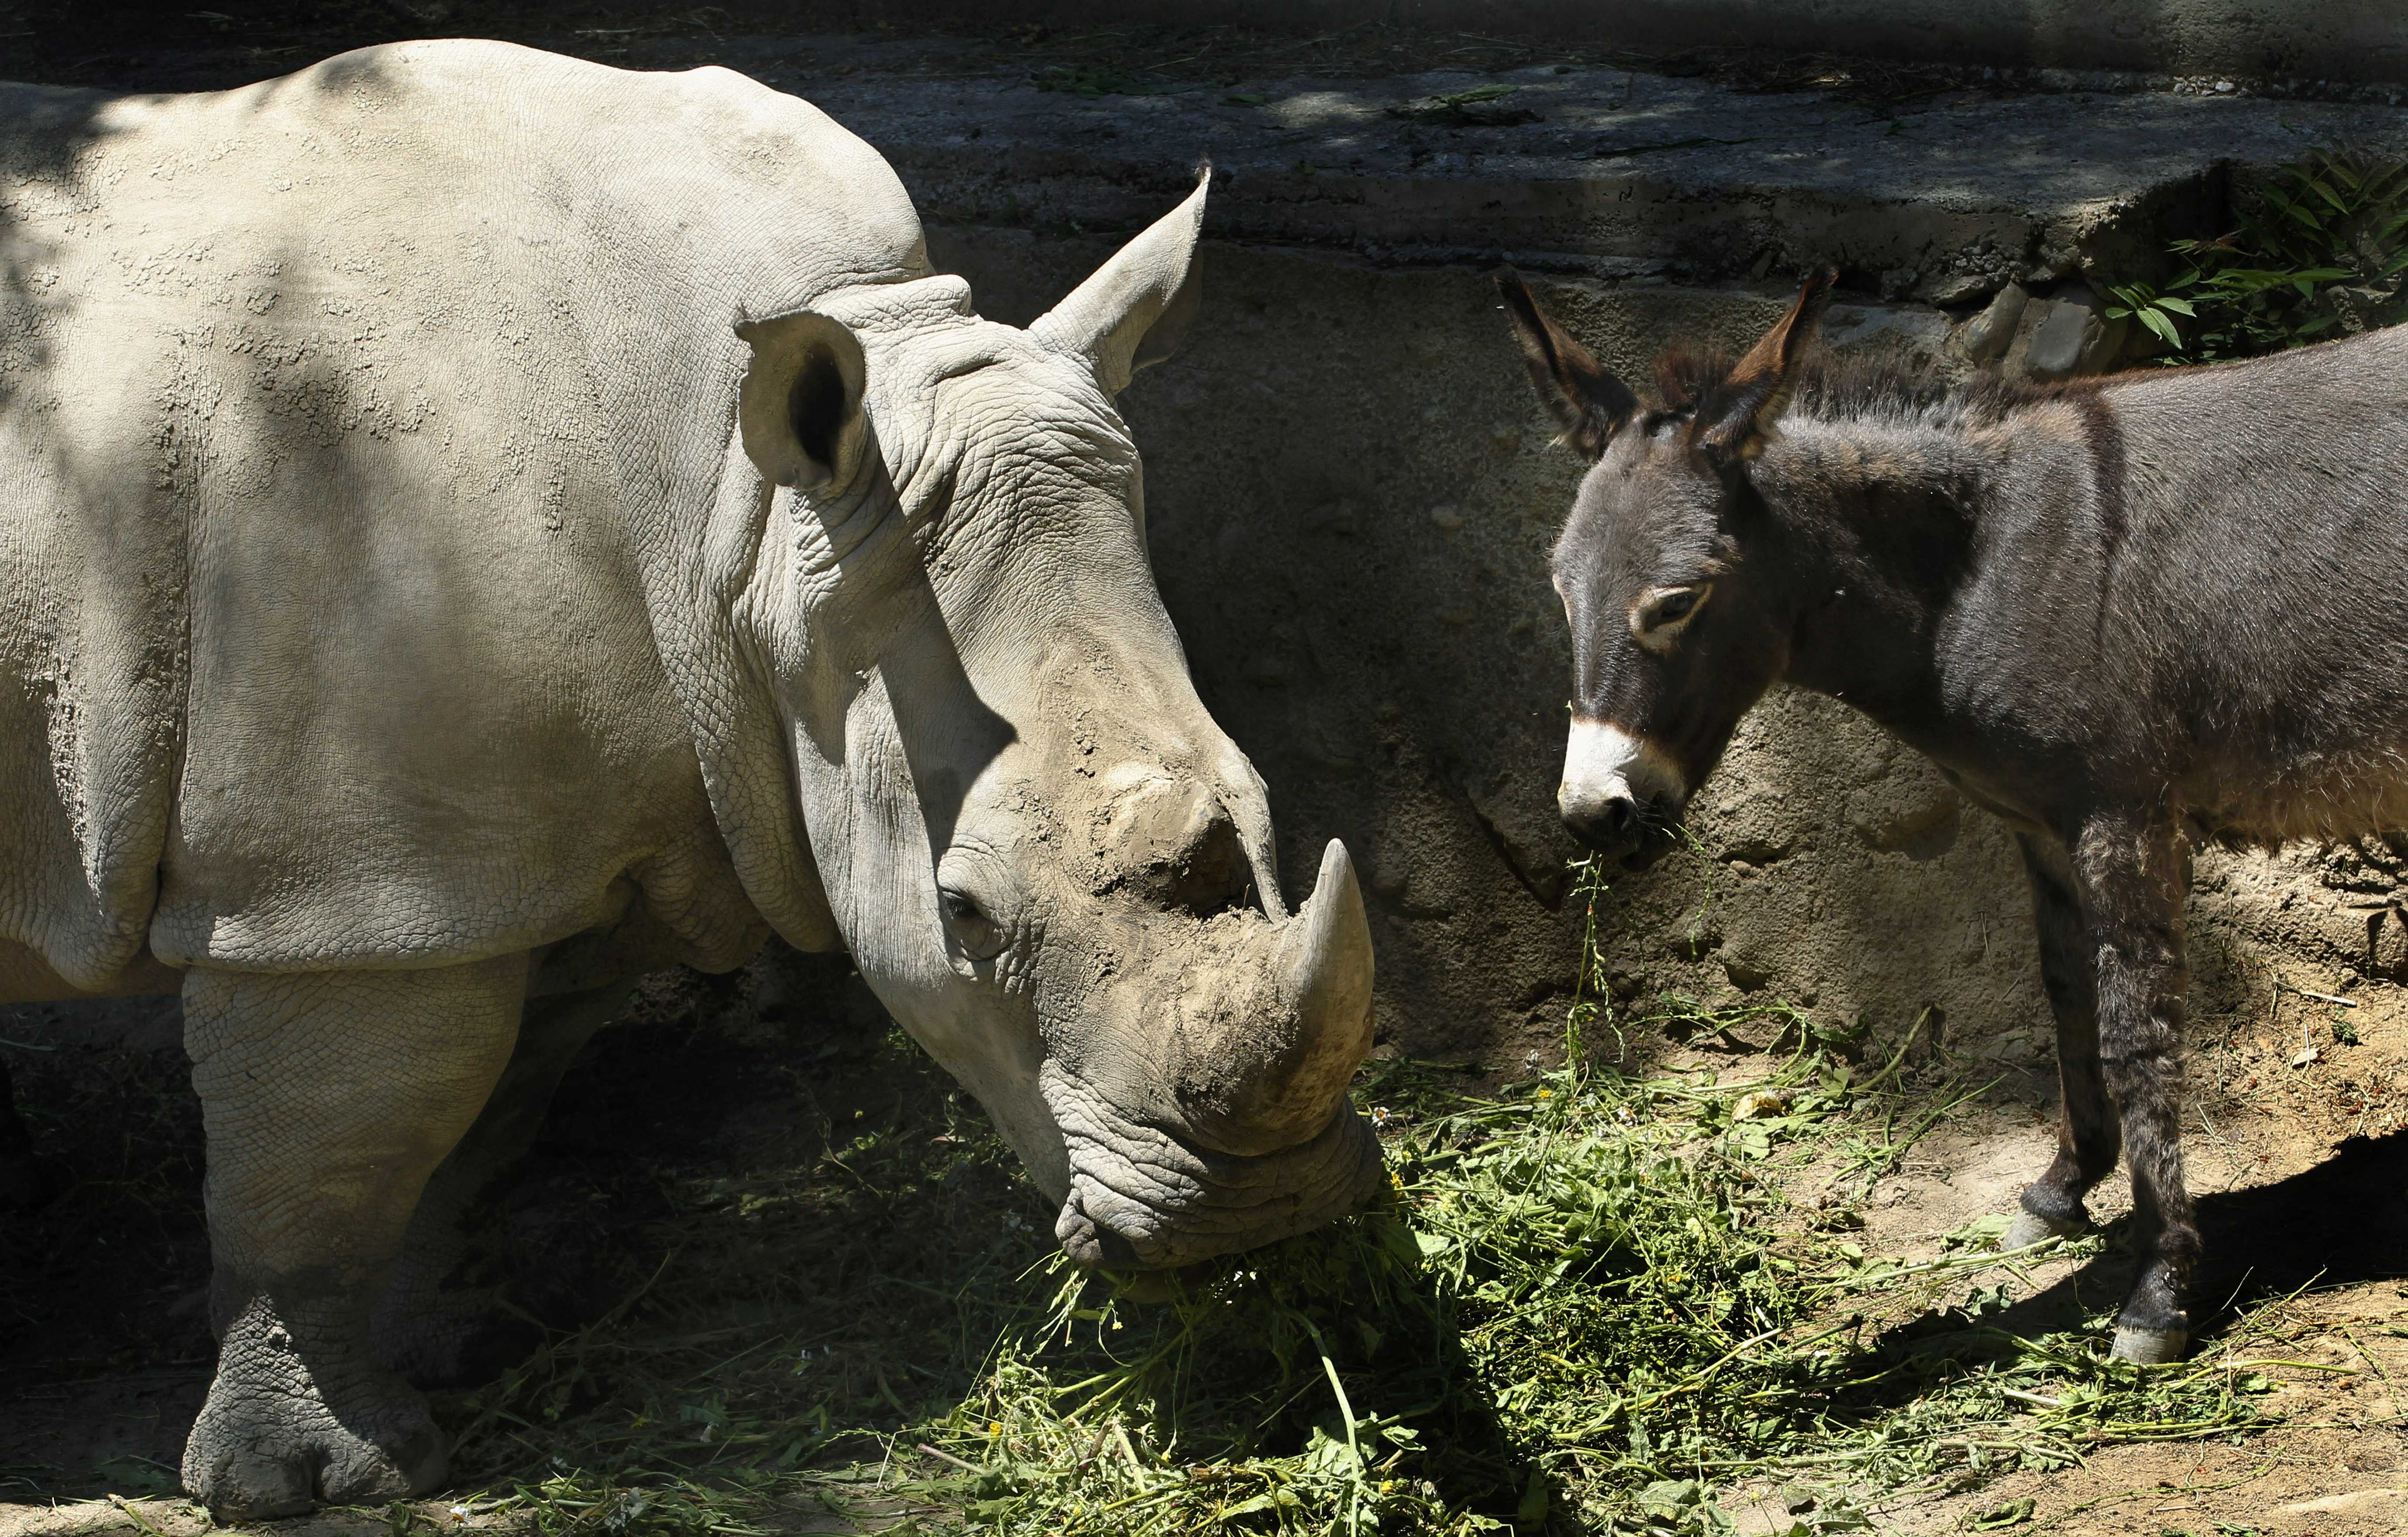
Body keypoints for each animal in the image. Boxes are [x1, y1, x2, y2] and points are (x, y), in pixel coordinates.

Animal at [0, 40, 1383, 1519]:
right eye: (961, 912)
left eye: (1261, 819)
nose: (1263, 1210)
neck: (741, 521)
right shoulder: (342, 889)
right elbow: (323, 1160)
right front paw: (308, 1484)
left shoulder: (517, 854)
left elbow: (465, 1122)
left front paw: (444, 1348)